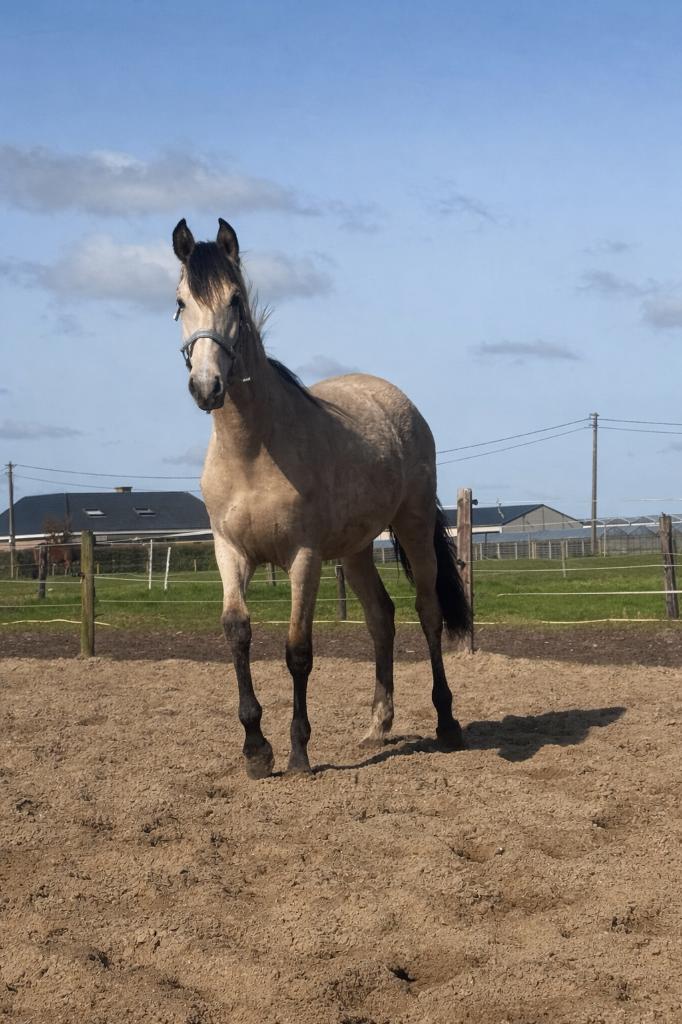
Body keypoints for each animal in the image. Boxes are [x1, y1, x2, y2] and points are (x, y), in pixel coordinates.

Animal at [172, 218, 471, 778]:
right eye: (180, 302)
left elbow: (298, 651)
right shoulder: (230, 552)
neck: (253, 451)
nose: (206, 387)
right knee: (381, 617)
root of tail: (395, 399)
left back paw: (447, 724)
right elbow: (237, 633)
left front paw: (297, 752)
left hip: (413, 526)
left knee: (427, 611)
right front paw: (255, 749)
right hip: (355, 550)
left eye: (236, 300)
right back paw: (378, 725)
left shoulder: (303, 557)